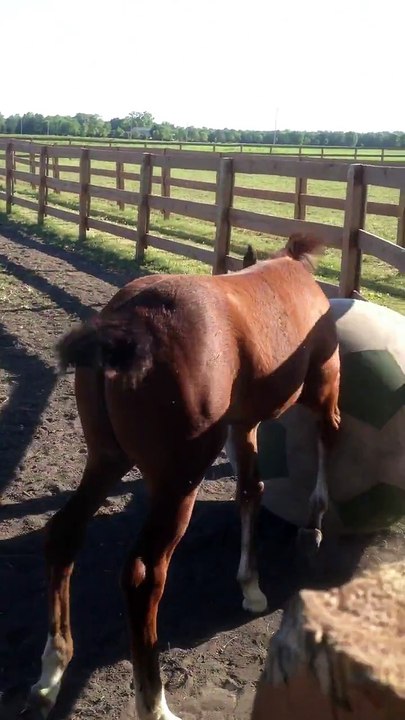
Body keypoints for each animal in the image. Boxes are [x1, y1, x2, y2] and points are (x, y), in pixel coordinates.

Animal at [28, 235, 340, 720]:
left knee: (63, 534)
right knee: (144, 574)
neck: (291, 273)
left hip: (106, 460)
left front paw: (251, 586)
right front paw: (313, 526)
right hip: (178, 484)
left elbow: (251, 490)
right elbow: (328, 444)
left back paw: (51, 674)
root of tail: (127, 321)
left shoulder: (243, 424)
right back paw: (154, 703)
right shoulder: (324, 388)